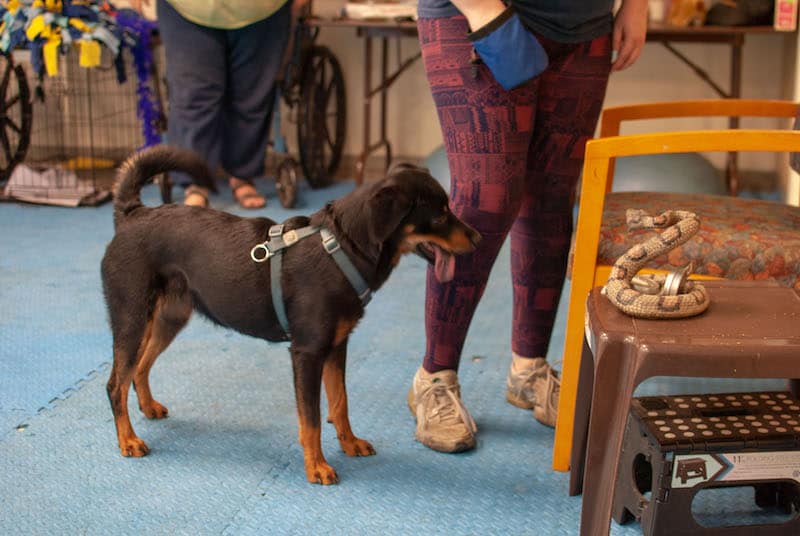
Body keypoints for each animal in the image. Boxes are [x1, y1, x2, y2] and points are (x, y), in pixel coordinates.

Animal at [104, 147, 484, 486]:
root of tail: (132, 213)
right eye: (439, 216)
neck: (343, 247)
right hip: (131, 318)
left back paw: (148, 408)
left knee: (139, 368)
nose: (479, 237)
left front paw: (349, 443)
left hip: (169, 318)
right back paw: (128, 441)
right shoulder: (308, 352)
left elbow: (340, 403)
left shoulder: (337, 346)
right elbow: (311, 418)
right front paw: (316, 467)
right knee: (115, 384)